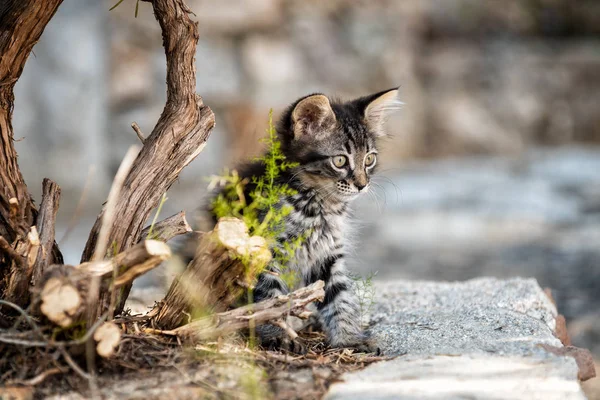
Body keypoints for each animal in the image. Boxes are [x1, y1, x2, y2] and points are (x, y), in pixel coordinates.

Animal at [204, 88, 400, 354]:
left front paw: (349, 338)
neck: (318, 206)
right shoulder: (266, 250)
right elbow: (271, 298)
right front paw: (278, 334)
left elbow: (341, 297)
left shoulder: (328, 255)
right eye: (340, 161)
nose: (362, 185)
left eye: (369, 159)